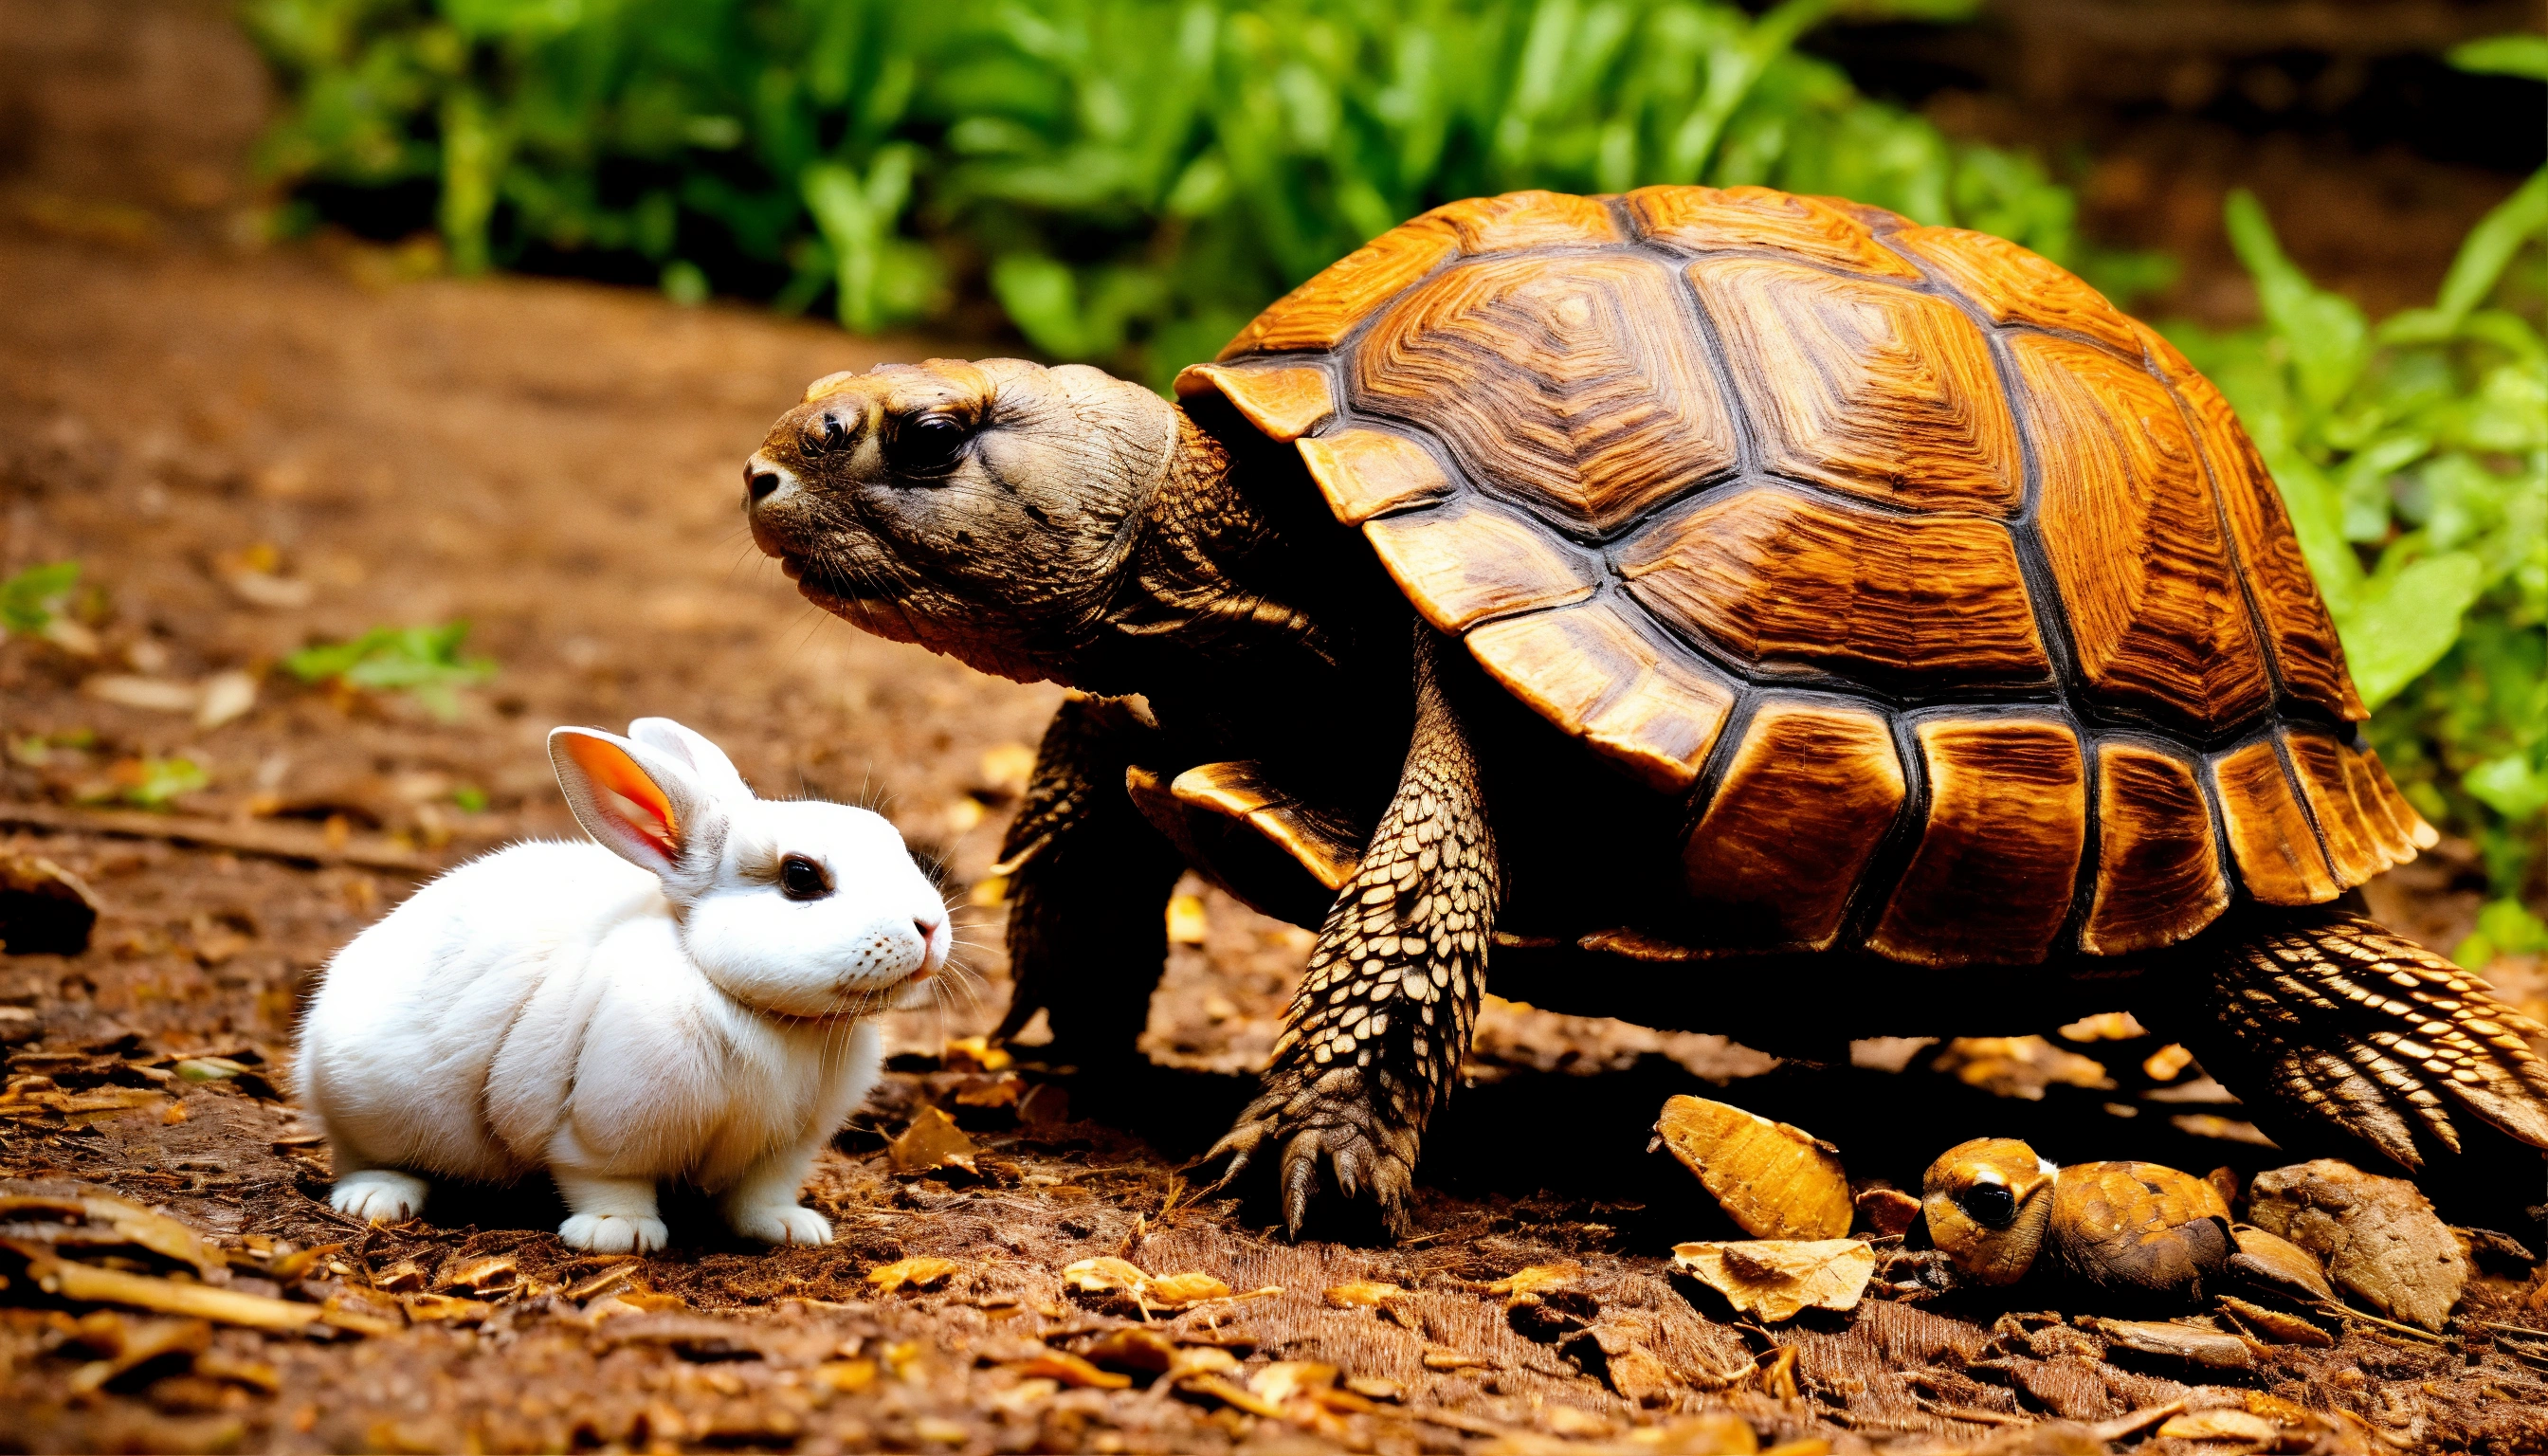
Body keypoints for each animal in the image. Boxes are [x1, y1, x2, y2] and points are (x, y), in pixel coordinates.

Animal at [292, 717, 949, 1253]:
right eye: (801, 877)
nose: (930, 928)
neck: (762, 1013)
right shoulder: (601, 1131)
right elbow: (608, 1184)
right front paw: (618, 1235)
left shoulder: (782, 1151)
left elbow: (760, 1196)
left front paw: (791, 1229)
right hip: (367, 1106)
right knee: (358, 1157)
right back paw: (374, 1198)